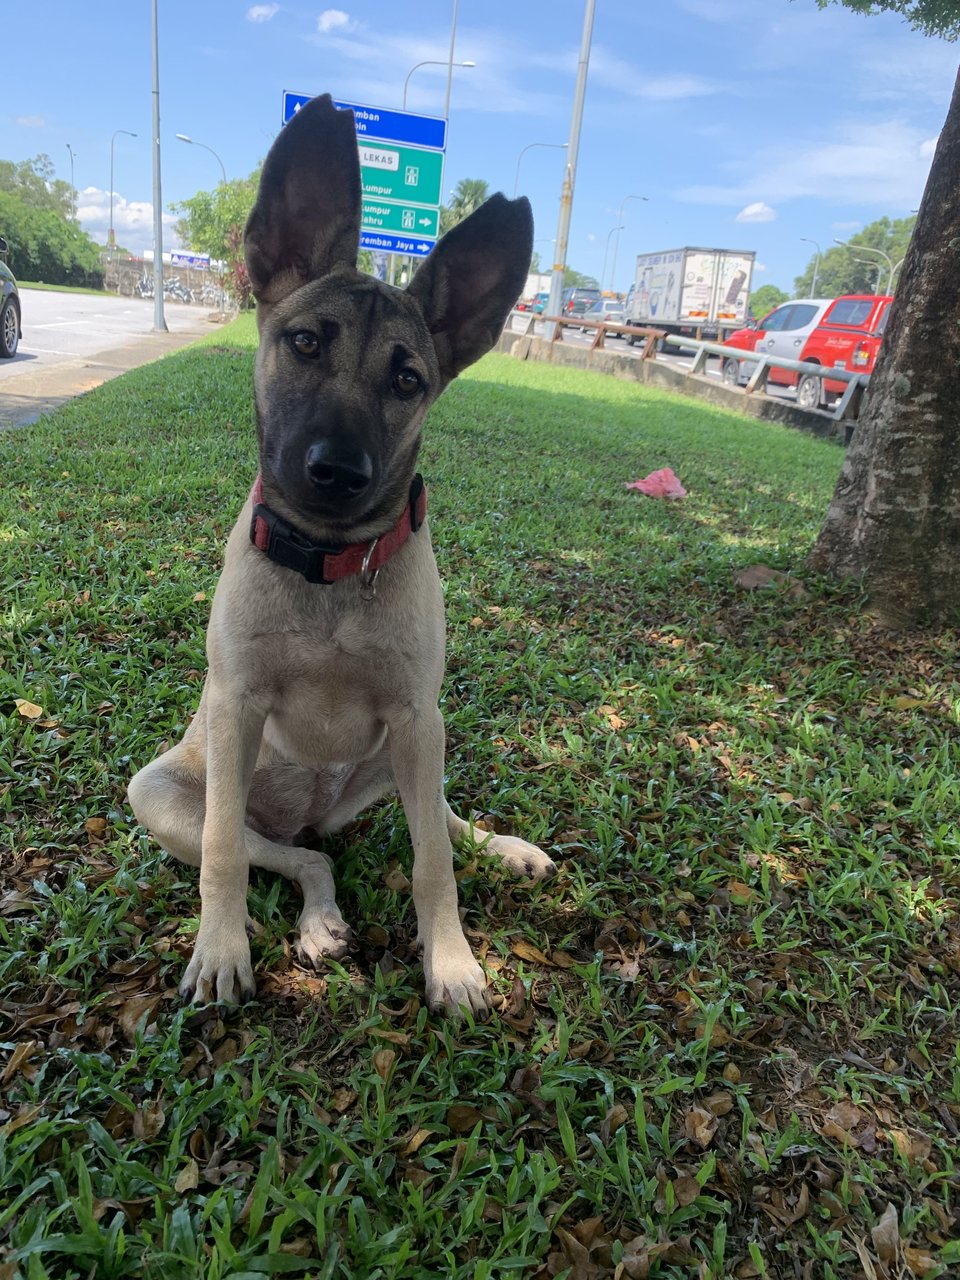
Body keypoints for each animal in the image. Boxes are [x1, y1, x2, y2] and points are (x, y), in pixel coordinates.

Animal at [128, 92, 555, 1018]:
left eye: (408, 382)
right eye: (305, 343)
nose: (336, 472)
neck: (327, 565)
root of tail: (312, 812)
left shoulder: (418, 717)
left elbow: (434, 863)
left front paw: (452, 962)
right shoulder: (236, 706)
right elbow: (225, 854)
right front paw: (220, 950)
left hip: (411, 749)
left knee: (435, 821)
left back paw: (503, 846)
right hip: (163, 793)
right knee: (297, 856)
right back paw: (318, 920)